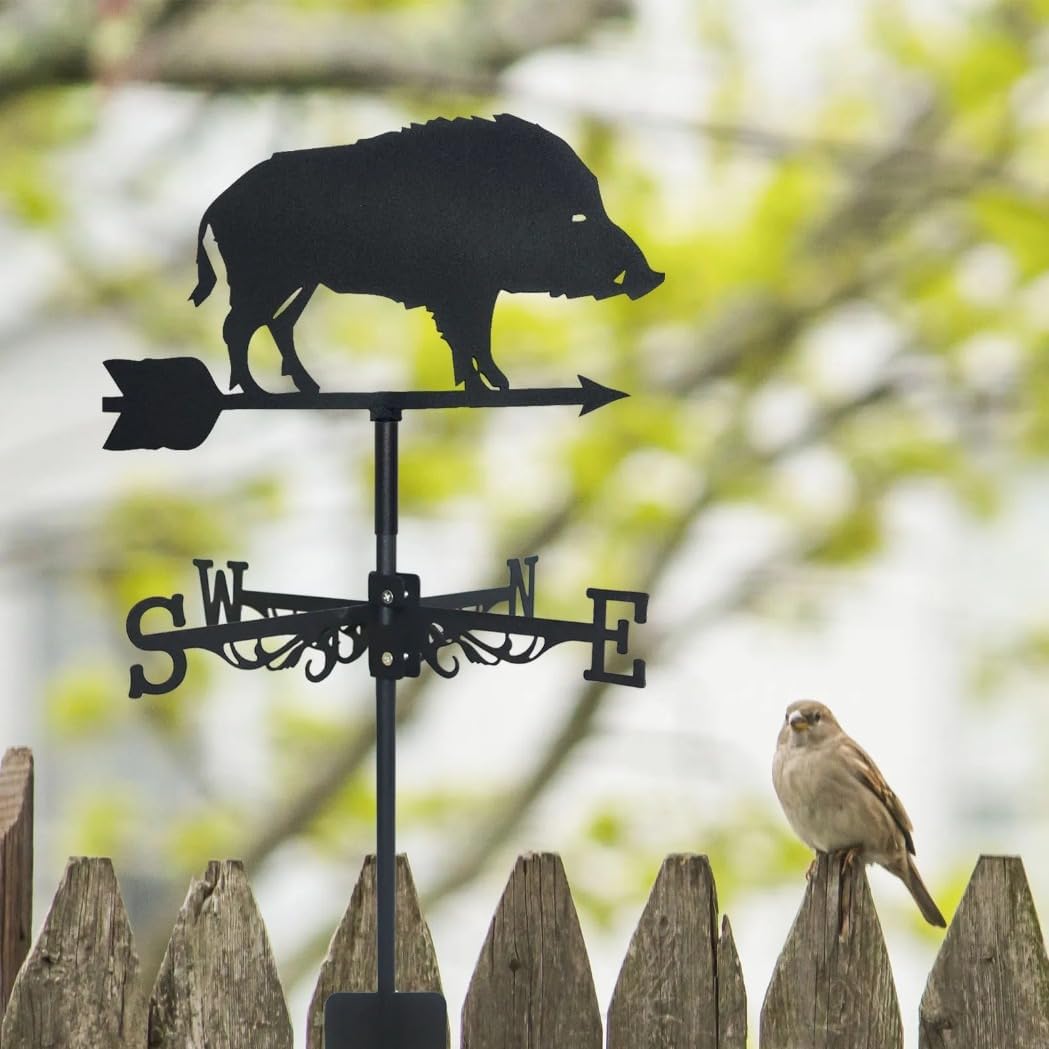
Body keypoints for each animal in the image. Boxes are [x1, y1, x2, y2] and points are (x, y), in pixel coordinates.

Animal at [190, 114, 664, 394]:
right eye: (580, 216)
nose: (652, 276)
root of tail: (217, 203)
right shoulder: (467, 289)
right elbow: (471, 336)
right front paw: (498, 387)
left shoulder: (468, 291)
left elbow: (464, 339)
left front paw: (486, 387)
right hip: (265, 279)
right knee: (237, 327)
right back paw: (256, 392)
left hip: (304, 282)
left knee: (277, 324)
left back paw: (310, 388)